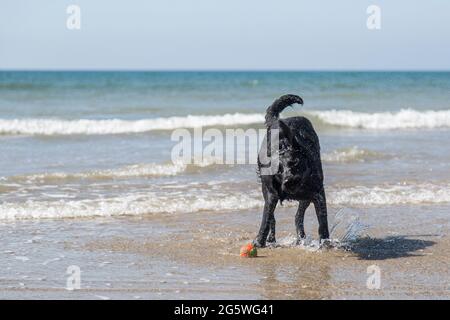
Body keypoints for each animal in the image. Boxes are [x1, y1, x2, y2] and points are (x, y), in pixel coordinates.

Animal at [255, 94, 328, 248]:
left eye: (295, 162)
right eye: (278, 171)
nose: (290, 181)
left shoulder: (318, 193)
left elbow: (323, 223)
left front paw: (326, 243)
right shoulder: (271, 194)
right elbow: (266, 218)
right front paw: (259, 241)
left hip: (306, 198)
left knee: (298, 217)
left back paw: (301, 238)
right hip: (266, 190)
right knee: (273, 218)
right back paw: (272, 239)